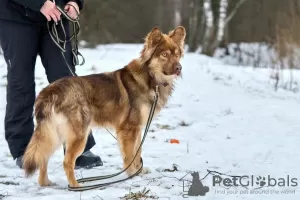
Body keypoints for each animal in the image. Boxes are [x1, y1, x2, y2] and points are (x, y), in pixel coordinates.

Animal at [23, 25, 186, 188]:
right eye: (164, 54)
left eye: (177, 54)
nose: (179, 68)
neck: (150, 77)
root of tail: (50, 91)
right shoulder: (129, 129)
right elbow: (130, 155)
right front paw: (132, 174)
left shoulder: (138, 128)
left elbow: (138, 152)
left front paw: (139, 171)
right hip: (79, 135)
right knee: (67, 162)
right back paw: (76, 186)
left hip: (54, 133)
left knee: (43, 157)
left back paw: (45, 183)